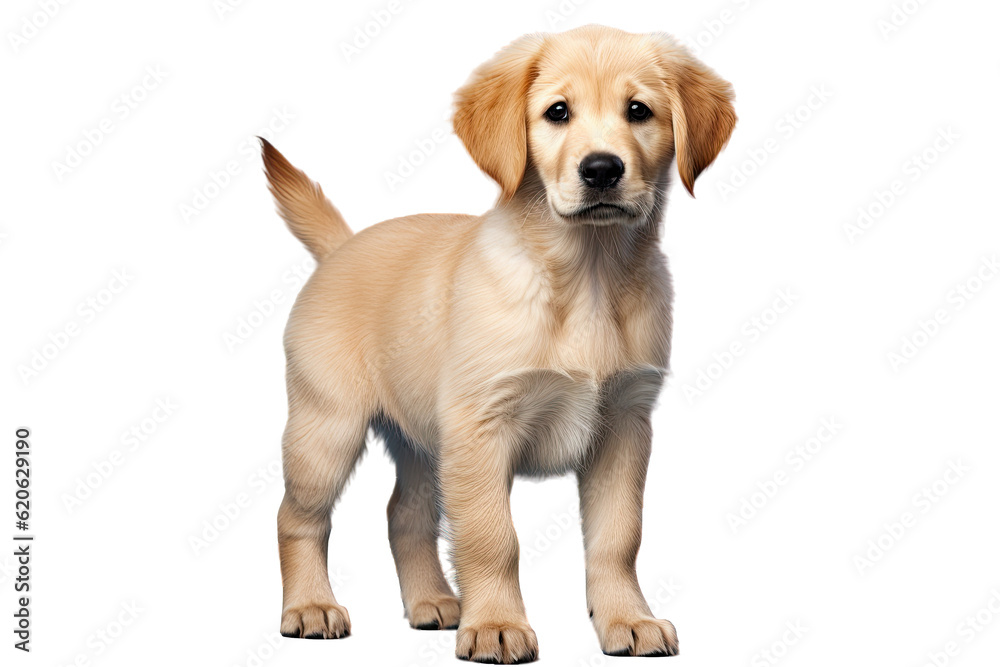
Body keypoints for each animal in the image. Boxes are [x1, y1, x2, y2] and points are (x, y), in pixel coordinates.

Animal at [264, 23, 736, 664]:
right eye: (557, 112)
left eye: (639, 111)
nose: (602, 169)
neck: (588, 276)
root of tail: (342, 246)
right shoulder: (482, 426)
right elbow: (493, 537)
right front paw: (495, 625)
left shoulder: (624, 425)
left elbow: (619, 537)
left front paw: (628, 619)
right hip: (327, 426)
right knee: (298, 516)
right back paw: (311, 606)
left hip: (423, 439)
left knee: (404, 515)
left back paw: (432, 603)